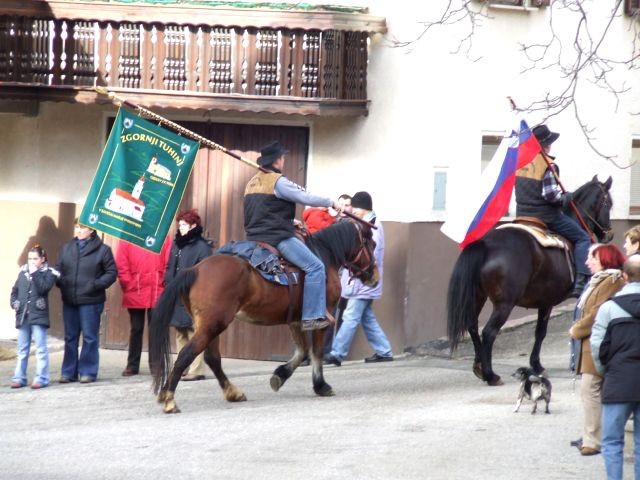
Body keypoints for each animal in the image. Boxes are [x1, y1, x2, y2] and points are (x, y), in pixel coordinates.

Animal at [149, 220, 380, 412]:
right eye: (372, 244)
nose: (375, 277)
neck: (324, 255)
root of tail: (195, 269)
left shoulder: (295, 319)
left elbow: (302, 351)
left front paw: (280, 375)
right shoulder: (322, 318)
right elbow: (315, 353)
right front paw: (321, 385)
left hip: (209, 325)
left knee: (212, 358)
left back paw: (232, 392)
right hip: (212, 325)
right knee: (186, 355)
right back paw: (169, 399)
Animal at [448, 176, 612, 386]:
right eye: (608, 203)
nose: (609, 234)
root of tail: (486, 243)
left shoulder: (545, 300)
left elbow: (540, 332)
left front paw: (536, 364)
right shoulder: (563, 299)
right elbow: (549, 330)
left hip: (478, 297)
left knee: (473, 327)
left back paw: (479, 368)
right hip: (504, 304)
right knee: (489, 332)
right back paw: (490, 374)